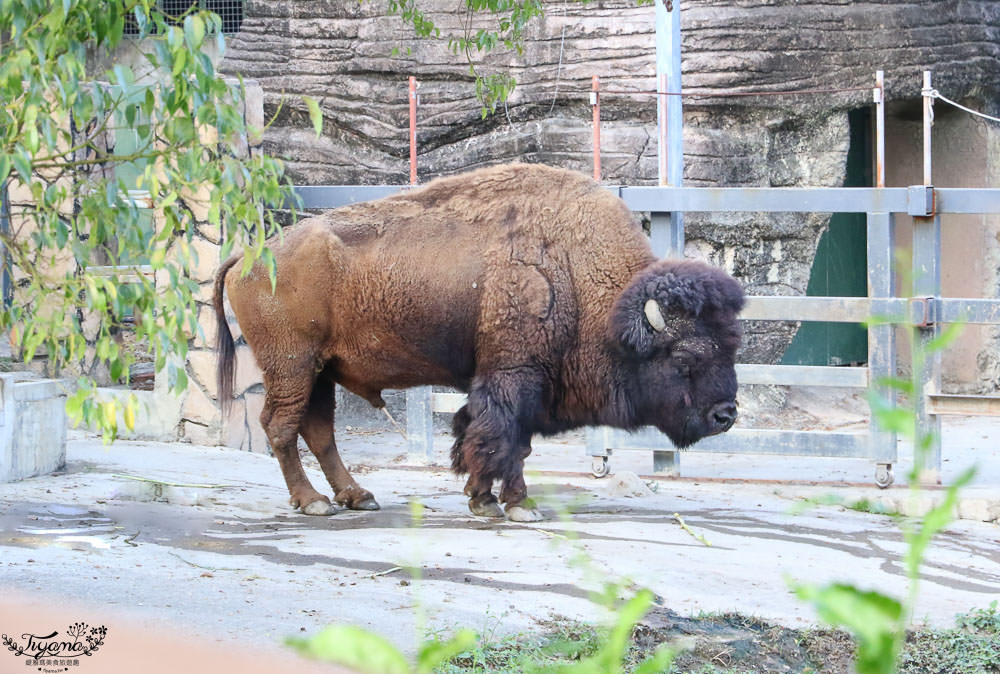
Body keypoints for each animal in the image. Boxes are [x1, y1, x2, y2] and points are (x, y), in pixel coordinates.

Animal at [213, 161, 744, 520]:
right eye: (684, 358)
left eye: (732, 346)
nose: (726, 415)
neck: (578, 276)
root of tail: (247, 255)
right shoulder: (514, 377)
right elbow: (503, 440)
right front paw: (514, 506)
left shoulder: (508, 383)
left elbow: (488, 436)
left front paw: (483, 498)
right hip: (292, 366)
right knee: (282, 427)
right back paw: (313, 502)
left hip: (320, 370)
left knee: (318, 429)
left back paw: (357, 496)